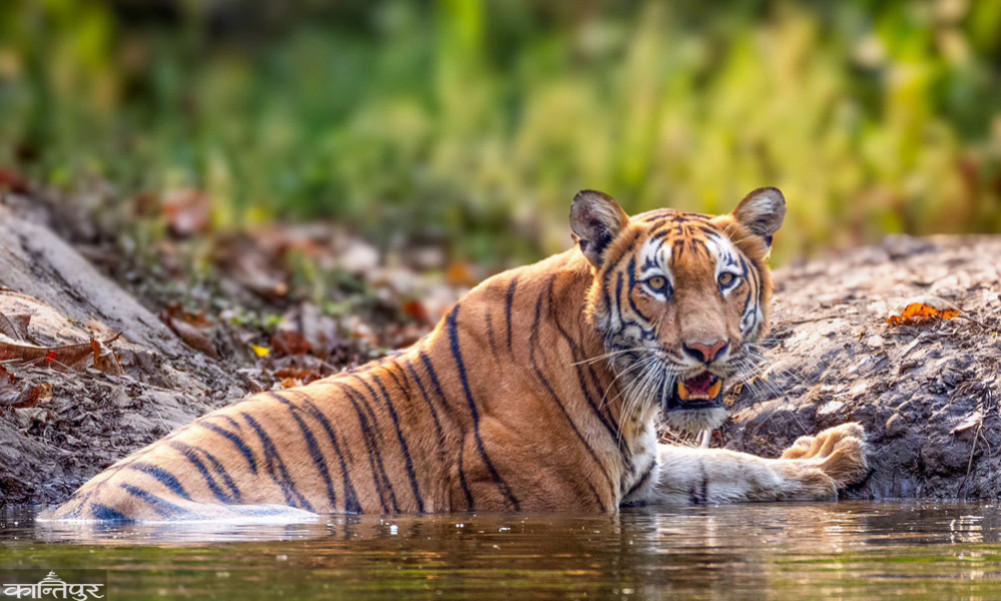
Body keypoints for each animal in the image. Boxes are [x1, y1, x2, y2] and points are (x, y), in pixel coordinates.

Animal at [42, 187, 868, 521]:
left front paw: (830, 456)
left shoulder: (641, 475)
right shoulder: (566, 505)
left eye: (726, 279)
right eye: (658, 284)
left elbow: (726, 465)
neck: (619, 385)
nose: (707, 348)